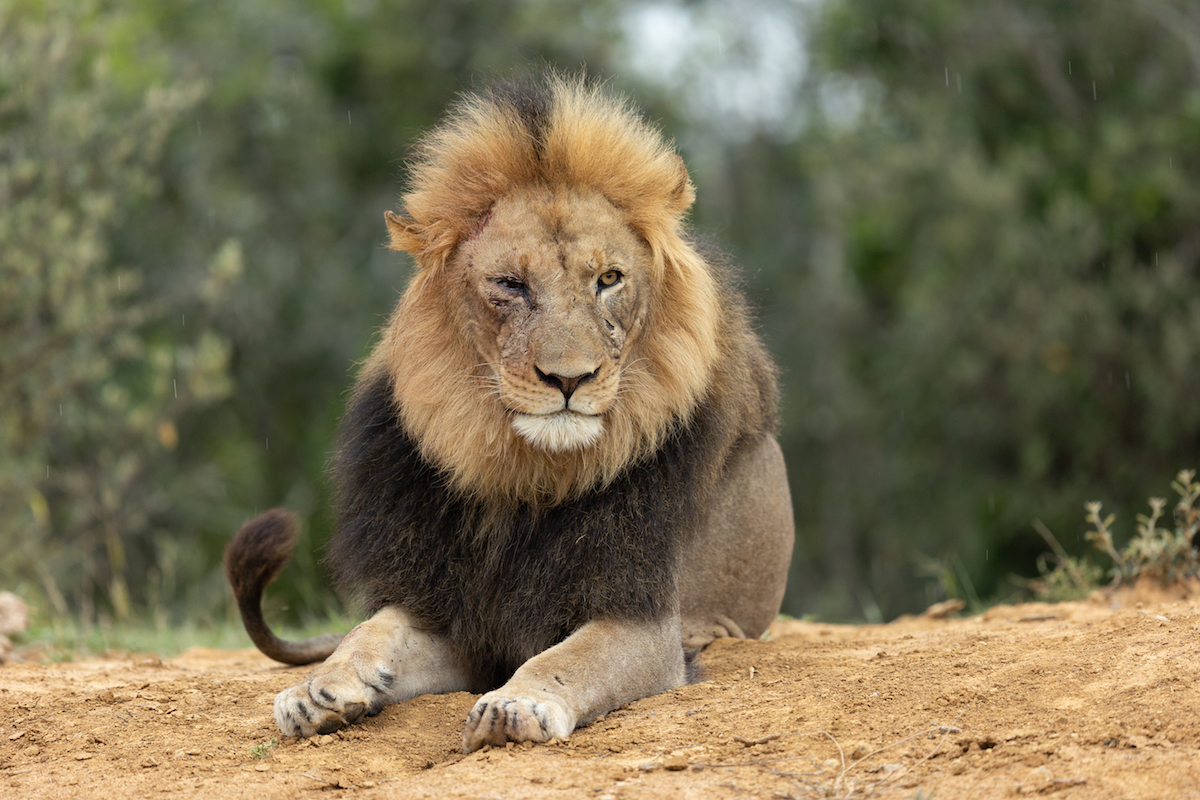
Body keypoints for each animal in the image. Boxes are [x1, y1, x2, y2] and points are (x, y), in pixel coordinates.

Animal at [225, 73, 796, 753]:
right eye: (511, 285)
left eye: (609, 279)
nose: (569, 378)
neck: (524, 477)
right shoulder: (454, 608)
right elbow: (372, 630)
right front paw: (319, 689)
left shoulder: (647, 620)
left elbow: (567, 658)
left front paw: (516, 704)